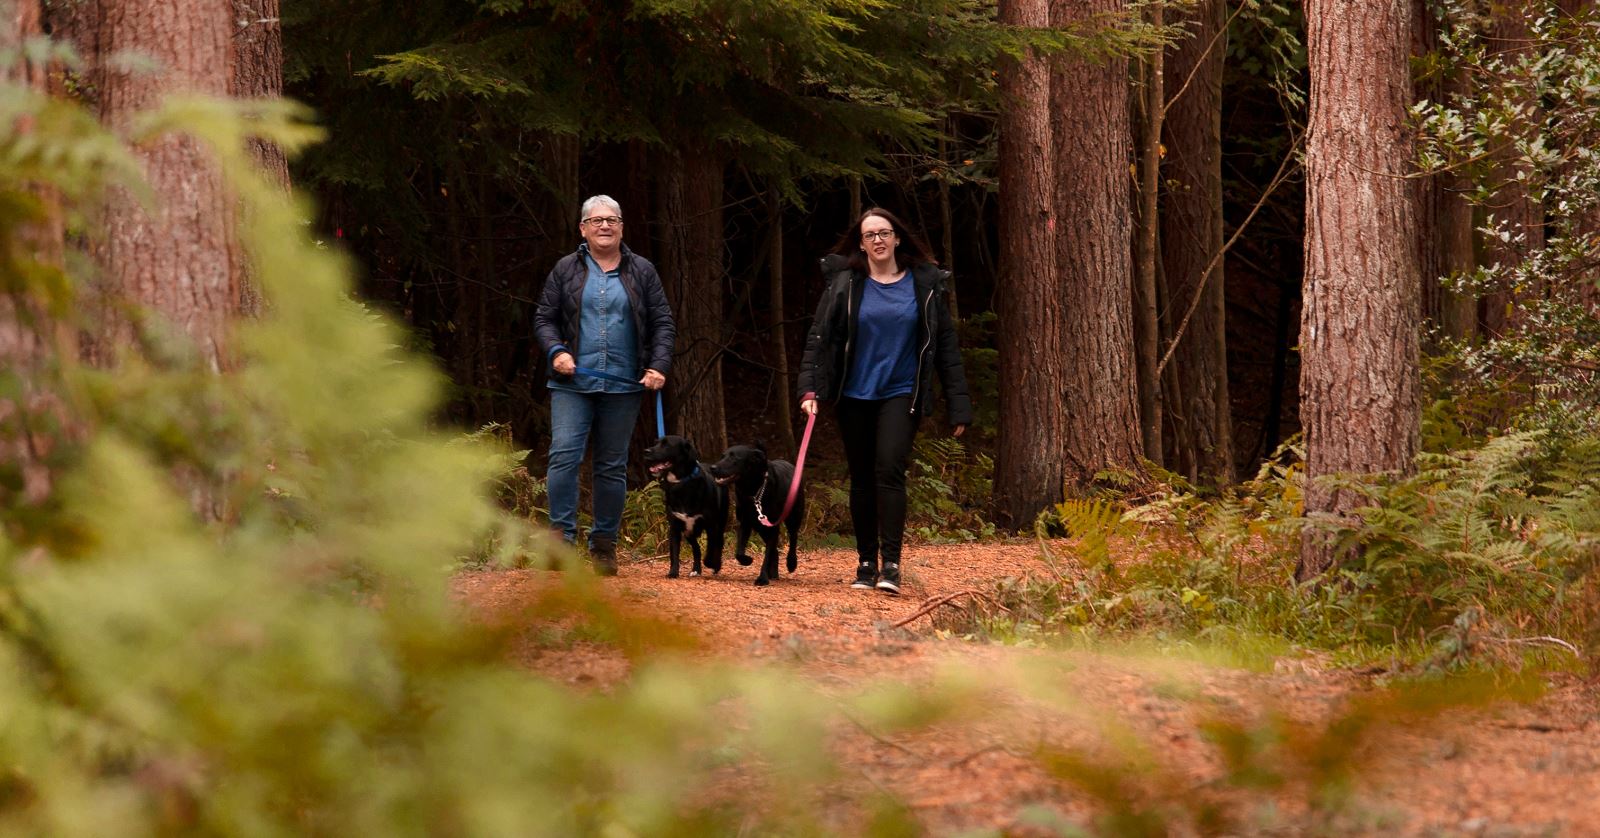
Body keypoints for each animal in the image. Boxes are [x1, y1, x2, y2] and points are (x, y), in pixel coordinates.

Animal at [643, 434, 732, 578]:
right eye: (656, 442)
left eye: (666, 445)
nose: (646, 451)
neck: (681, 483)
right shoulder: (675, 527)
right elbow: (674, 554)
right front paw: (673, 572)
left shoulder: (711, 525)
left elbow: (711, 548)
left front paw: (711, 563)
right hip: (688, 532)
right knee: (696, 549)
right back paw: (696, 569)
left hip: (720, 522)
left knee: (718, 543)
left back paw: (716, 566)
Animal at [710, 441, 806, 585]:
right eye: (722, 456)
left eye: (734, 458)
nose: (713, 467)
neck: (753, 491)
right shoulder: (746, 522)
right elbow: (739, 552)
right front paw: (747, 560)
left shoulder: (773, 527)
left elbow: (767, 555)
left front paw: (762, 578)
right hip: (760, 527)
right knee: (775, 551)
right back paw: (774, 574)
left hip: (793, 516)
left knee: (793, 538)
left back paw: (791, 563)